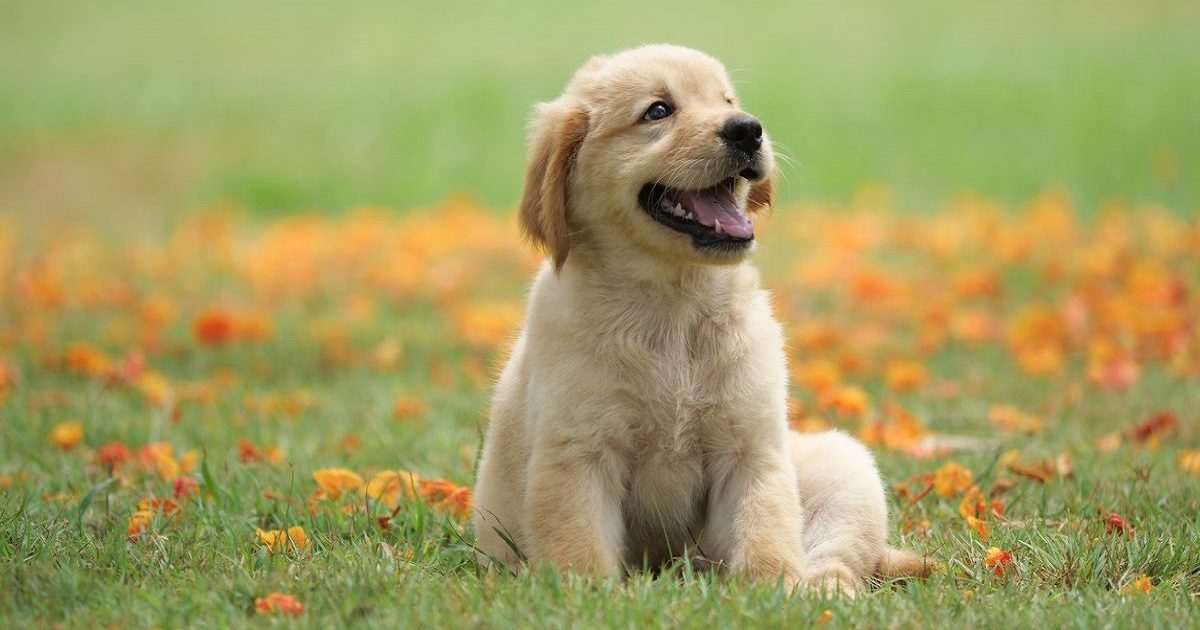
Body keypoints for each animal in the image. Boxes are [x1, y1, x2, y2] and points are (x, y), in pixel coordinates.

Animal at [470, 45, 926, 595]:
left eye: (727, 100)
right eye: (658, 111)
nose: (748, 129)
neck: (673, 304)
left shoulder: (750, 449)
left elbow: (765, 533)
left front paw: (775, 594)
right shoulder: (578, 452)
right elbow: (579, 549)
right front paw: (592, 599)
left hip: (844, 467)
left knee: (837, 556)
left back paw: (827, 592)